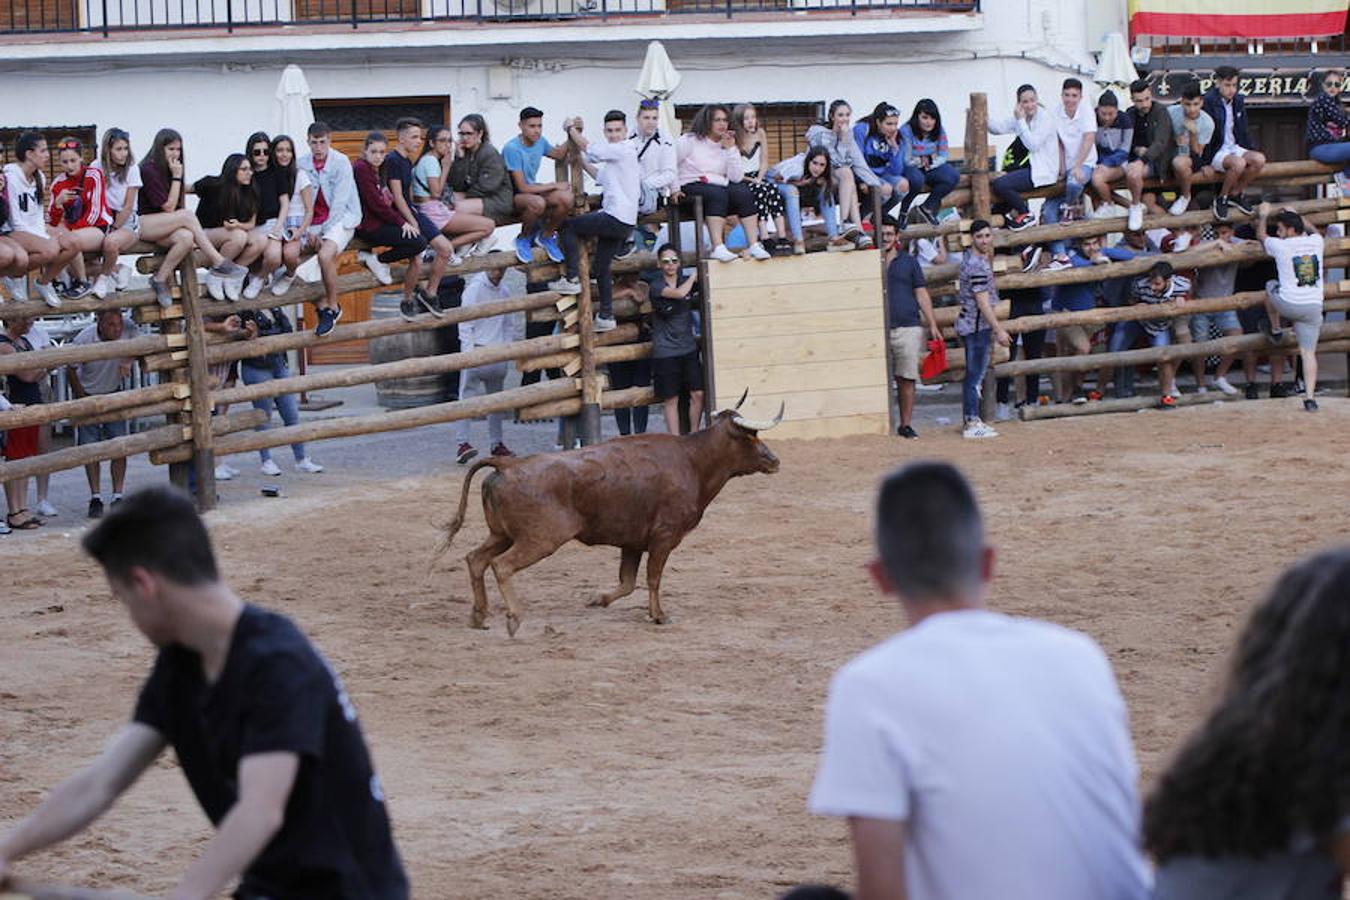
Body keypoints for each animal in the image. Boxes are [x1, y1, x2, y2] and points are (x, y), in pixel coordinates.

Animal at [437, 402, 788, 634]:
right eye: (751, 437)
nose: (775, 461)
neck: (693, 461)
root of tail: (507, 465)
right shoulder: (664, 537)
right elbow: (652, 578)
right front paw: (659, 615)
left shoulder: (632, 542)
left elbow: (628, 582)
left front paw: (597, 599)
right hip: (539, 540)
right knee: (502, 566)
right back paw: (514, 618)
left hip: (501, 535)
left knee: (475, 559)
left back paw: (479, 616)